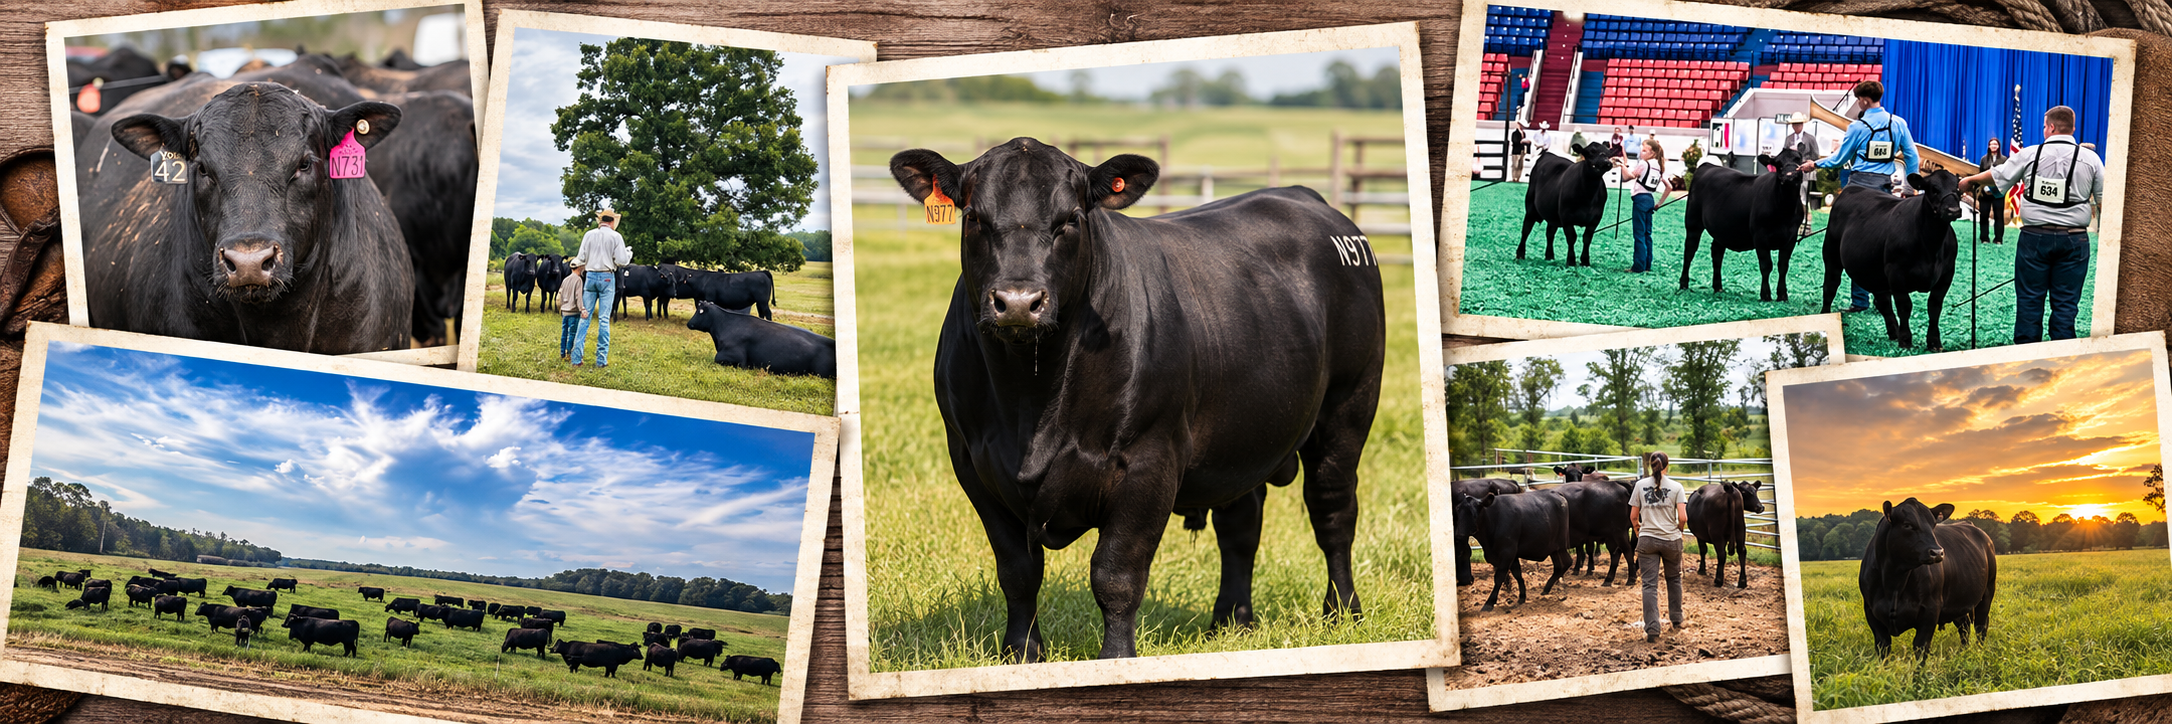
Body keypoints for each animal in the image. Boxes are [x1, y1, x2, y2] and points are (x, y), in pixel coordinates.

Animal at [887, 139, 1385, 662]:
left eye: (1070, 219)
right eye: (974, 217)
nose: (1019, 302)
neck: (1030, 401)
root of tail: (1303, 196)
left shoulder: (1150, 461)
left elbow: (1116, 574)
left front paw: (1116, 659)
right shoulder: (973, 463)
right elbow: (1018, 572)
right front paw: (1021, 655)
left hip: (1349, 406)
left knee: (1333, 511)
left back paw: (1343, 613)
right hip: (1242, 434)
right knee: (1241, 525)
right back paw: (1231, 621)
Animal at [1680, 148, 1808, 301]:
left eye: (1798, 159)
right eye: (1778, 164)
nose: (1790, 176)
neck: (1785, 210)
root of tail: (1708, 166)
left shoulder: (1791, 239)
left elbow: (1783, 266)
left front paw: (1782, 295)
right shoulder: (1760, 237)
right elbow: (1766, 266)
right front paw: (1765, 295)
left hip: (1721, 230)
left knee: (1717, 253)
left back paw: (1718, 287)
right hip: (1693, 222)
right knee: (1689, 251)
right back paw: (1683, 284)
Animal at [1821, 170, 1963, 350]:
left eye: (1957, 188)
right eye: (1933, 189)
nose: (1953, 210)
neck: (1931, 246)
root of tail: (1852, 188)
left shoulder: (1946, 274)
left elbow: (1934, 307)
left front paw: (1934, 342)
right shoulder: (1896, 273)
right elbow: (1905, 306)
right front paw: (1906, 339)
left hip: (1874, 272)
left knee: (1883, 302)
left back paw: (1894, 332)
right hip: (1831, 256)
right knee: (1830, 287)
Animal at [1860, 498, 1997, 661]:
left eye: (1933, 525)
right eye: (1907, 525)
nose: (1937, 552)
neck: (1894, 584)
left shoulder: (1930, 610)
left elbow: (1921, 648)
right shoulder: (1872, 613)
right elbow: (1883, 649)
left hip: (1987, 591)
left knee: (1981, 625)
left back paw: (1979, 652)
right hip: (1960, 599)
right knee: (1964, 625)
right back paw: (1964, 652)